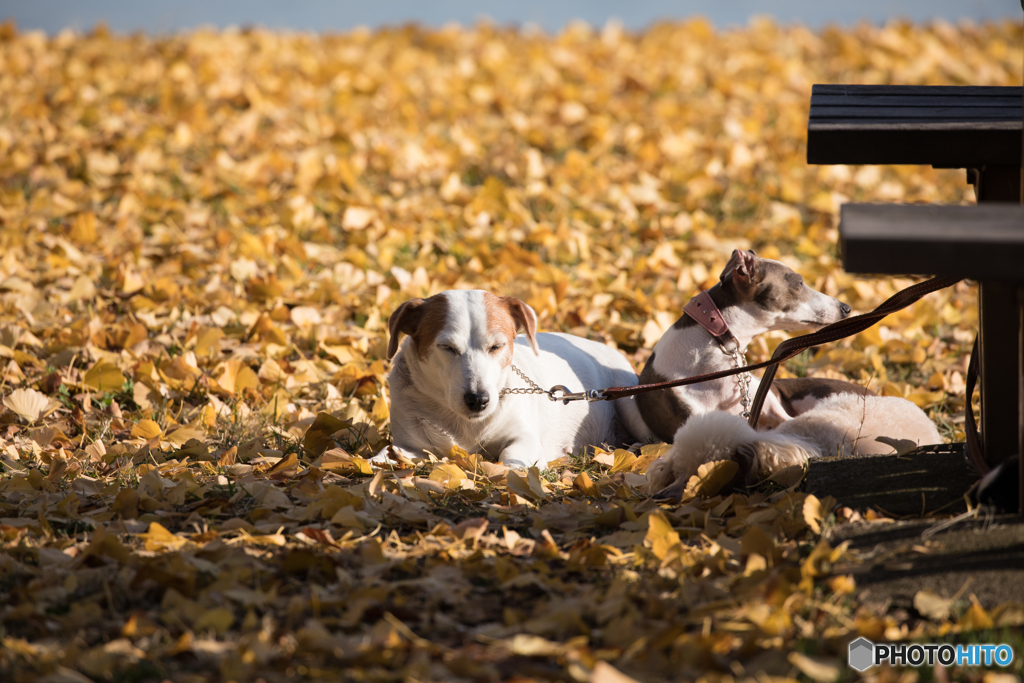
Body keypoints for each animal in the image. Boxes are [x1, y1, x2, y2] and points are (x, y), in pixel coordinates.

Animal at [380, 288, 651, 471]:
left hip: (630, 401)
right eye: (447, 347)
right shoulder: (410, 446)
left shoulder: (523, 437)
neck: (466, 425)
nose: (478, 400)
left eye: (497, 346)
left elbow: (513, 455)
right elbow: (388, 454)